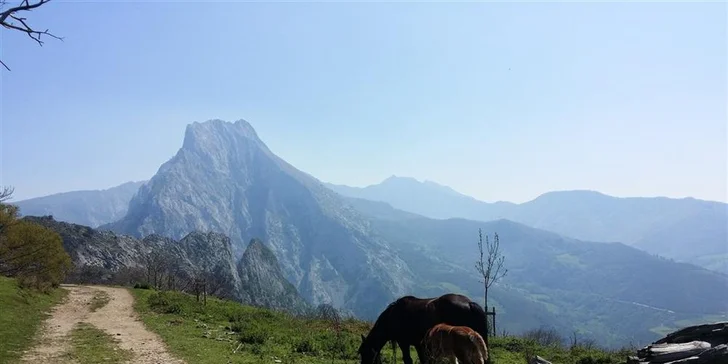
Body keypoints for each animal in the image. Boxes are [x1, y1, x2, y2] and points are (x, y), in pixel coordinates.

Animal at [358, 292, 490, 364]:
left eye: (364, 353)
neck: (393, 316)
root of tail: (469, 303)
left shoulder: (404, 343)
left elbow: (408, 360)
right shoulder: (418, 344)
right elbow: (423, 360)